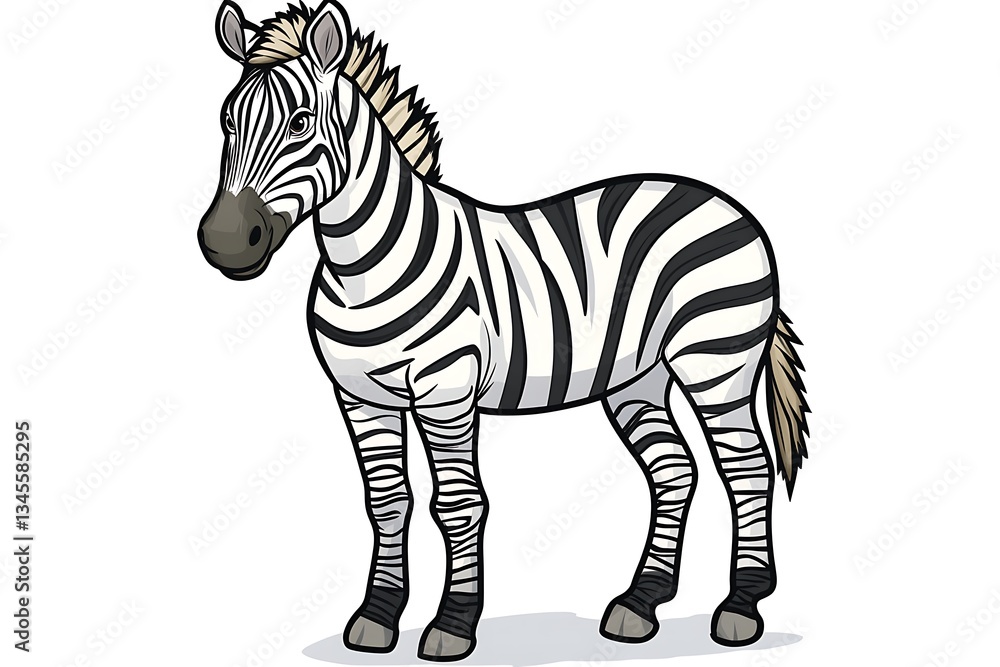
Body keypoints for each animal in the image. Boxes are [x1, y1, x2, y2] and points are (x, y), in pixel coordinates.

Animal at [197, 1, 810, 661]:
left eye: (302, 123)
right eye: (227, 122)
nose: (224, 242)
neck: (362, 266)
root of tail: (725, 202)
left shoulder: (445, 389)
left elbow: (457, 504)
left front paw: (453, 623)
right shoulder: (360, 396)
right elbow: (387, 502)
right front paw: (377, 616)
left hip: (715, 361)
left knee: (746, 468)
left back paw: (741, 606)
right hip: (636, 377)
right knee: (675, 469)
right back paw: (639, 603)